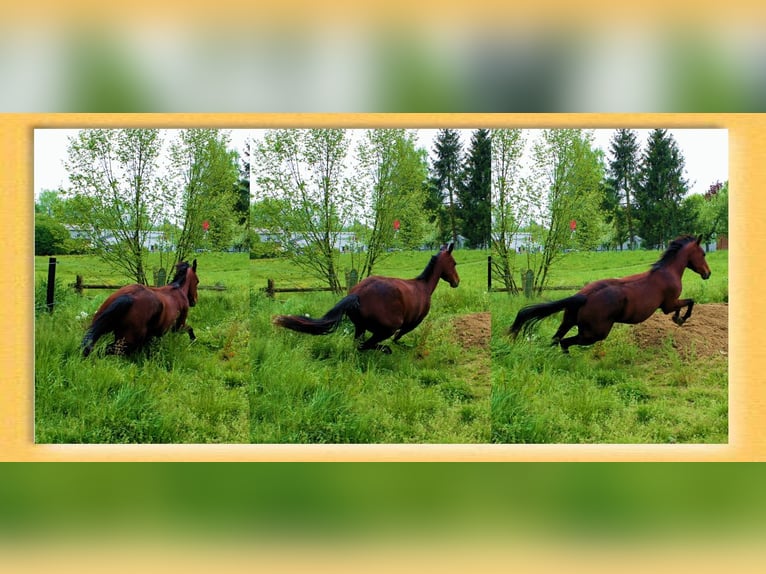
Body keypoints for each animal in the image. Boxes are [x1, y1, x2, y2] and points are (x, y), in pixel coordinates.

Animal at [273, 243, 460, 354]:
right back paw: (385, 349)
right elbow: (399, 335)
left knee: (358, 345)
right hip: (385, 328)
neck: (424, 286)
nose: (457, 281)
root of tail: (357, 294)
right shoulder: (412, 323)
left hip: (360, 327)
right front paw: (398, 345)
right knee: (366, 345)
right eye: (454, 263)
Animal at [509, 235, 711, 353]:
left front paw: (678, 319)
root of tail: (583, 296)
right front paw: (680, 319)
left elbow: (687, 303)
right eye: (703, 253)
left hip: (569, 322)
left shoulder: (671, 304)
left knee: (556, 339)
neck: (668, 272)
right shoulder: (668, 304)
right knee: (564, 342)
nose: (707, 274)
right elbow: (690, 302)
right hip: (593, 334)